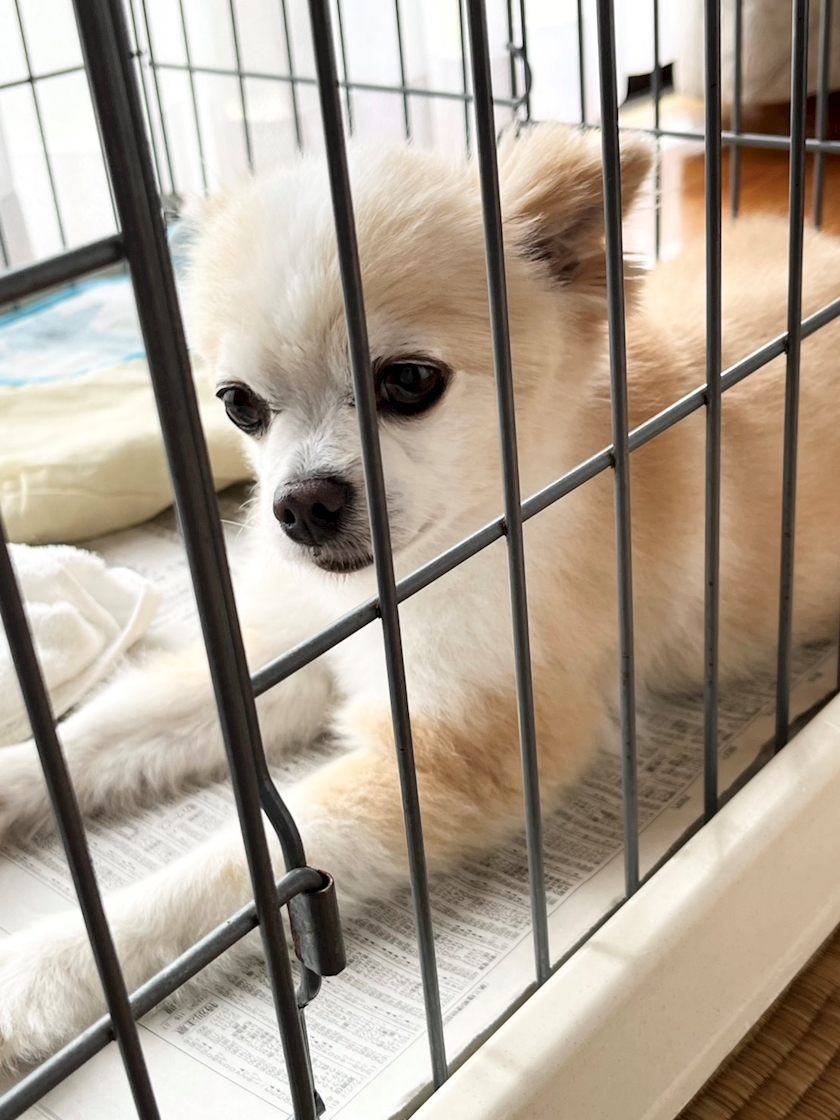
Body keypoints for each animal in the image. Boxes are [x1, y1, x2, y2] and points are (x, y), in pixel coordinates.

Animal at [0, 123, 839, 1072]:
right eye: (240, 405)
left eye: (407, 382)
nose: (301, 505)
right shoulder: (286, 660)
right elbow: (103, 734)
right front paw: (10, 780)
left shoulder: (463, 752)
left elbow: (248, 876)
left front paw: (44, 969)